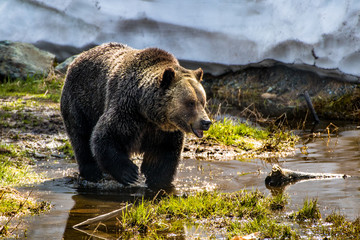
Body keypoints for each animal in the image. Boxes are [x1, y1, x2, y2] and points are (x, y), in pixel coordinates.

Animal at [59, 43, 211, 189]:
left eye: (202, 101)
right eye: (191, 102)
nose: (206, 122)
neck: (149, 112)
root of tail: (80, 56)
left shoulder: (165, 131)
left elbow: (163, 154)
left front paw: (158, 181)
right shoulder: (127, 111)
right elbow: (106, 136)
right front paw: (130, 173)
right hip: (81, 101)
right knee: (81, 135)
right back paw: (92, 173)